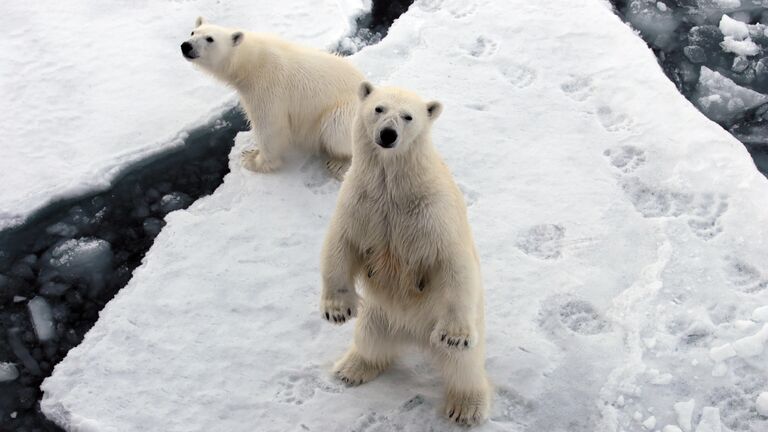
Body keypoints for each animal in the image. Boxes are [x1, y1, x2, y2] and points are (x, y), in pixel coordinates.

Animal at [181, 16, 364, 176]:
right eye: (193, 32)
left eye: (209, 39)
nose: (186, 46)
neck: (251, 62)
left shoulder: (267, 88)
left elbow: (270, 127)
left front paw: (251, 159)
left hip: (347, 112)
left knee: (335, 125)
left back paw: (339, 164)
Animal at [320, 82, 492, 426]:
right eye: (379, 108)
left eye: (408, 116)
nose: (388, 134)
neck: (393, 189)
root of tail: (414, 336)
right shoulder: (361, 201)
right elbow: (341, 244)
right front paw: (337, 311)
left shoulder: (433, 213)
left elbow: (453, 262)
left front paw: (455, 337)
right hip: (379, 315)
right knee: (370, 340)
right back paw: (351, 368)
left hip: (446, 318)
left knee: (463, 365)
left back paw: (466, 407)